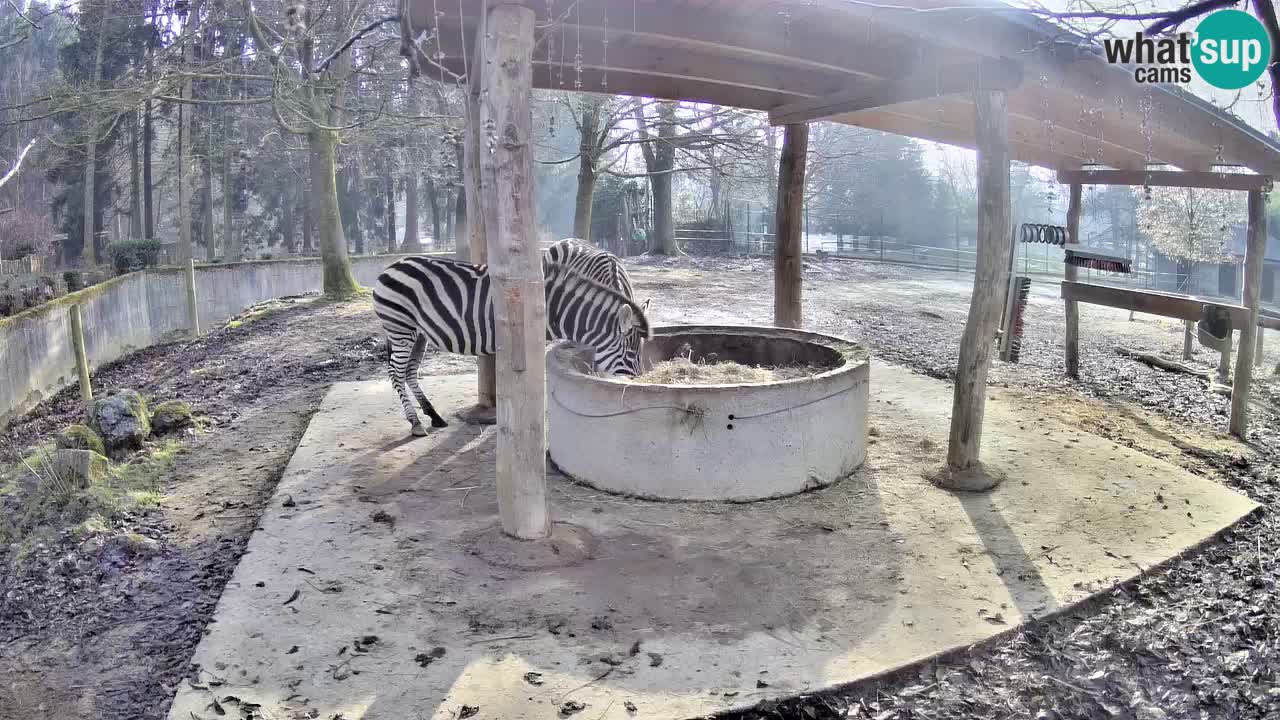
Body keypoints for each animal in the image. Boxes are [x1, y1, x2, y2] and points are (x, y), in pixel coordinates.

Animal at [371, 254, 650, 435]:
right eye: (631, 352)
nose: (639, 383)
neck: (554, 309)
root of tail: (390, 266)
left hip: (419, 334)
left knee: (410, 371)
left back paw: (434, 415)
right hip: (400, 327)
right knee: (396, 372)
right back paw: (415, 422)